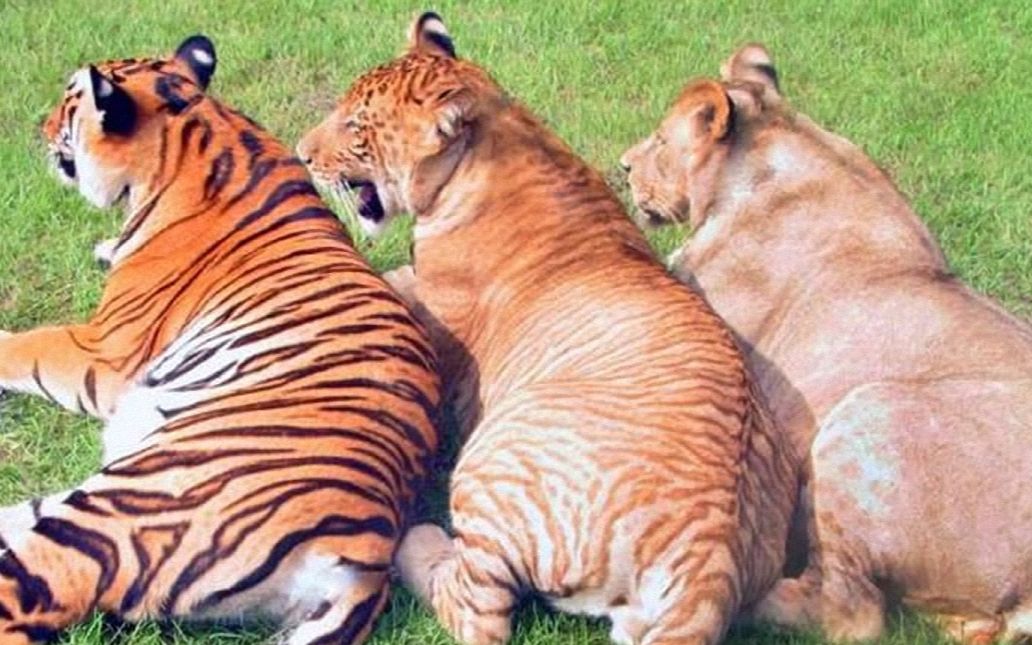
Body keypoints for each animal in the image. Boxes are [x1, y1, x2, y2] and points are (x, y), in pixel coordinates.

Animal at [0, 35, 440, 644]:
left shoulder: (103, 351)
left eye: (67, 104)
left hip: (128, 509)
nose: (37, 129)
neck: (196, 126)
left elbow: (25, 347)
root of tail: (367, 555)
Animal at [297, 13, 798, 645]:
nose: (301, 154)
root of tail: (714, 558)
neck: (499, 135)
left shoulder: (438, 324)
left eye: (355, 124)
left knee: (476, 610)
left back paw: (418, 540)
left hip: (491, 469)